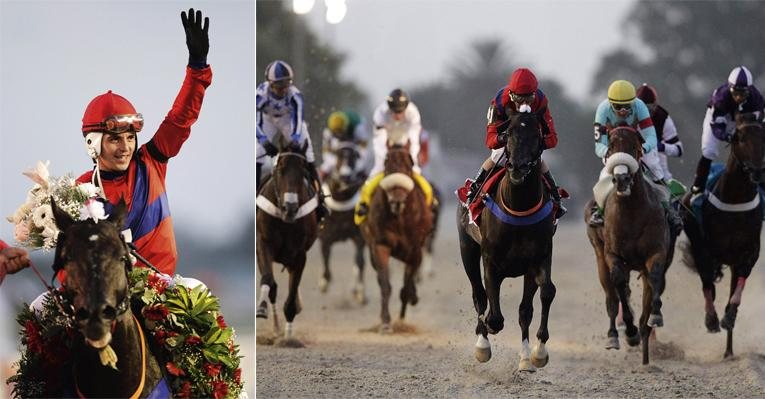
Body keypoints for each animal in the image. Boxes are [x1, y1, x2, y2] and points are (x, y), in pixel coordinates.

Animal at [314, 144, 366, 304]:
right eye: (338, 157)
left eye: (354, 157)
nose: (345, 176)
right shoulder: (325, 238)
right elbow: (325, 260)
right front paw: (324, 282)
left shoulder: (359, 237)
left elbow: (359, 262)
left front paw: (360, 291)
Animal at [362, 142, 432, 332]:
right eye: (387, 165)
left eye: (409, 165)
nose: (397, 200)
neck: (400, 219)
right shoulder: (380, 245)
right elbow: (385, 285)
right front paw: (386, 322)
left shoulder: (415, 251)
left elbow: (406, 288)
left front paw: (401, 320)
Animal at [454, 111, 556, 374]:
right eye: (507, 133)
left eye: (537, 134)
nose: (517, 167)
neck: (518, 208)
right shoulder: (491, 261)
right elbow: (494, 314)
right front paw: (486, 333)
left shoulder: (539, 258)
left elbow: (543, 295)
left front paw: (536, 354)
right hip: (467, 250)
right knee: (479, 295)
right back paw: (482, 343)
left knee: (524, 309)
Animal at [676, 111, 760, 360]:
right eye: (739, 138)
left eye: (763, 136)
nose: (756, 171)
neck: (735, 199)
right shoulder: (704, 251)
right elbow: (707, 286)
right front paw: (711, 319)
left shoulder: (749, 252)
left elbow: (736, 292)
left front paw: (729, 316)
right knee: (707, 284)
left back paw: (728, 350)